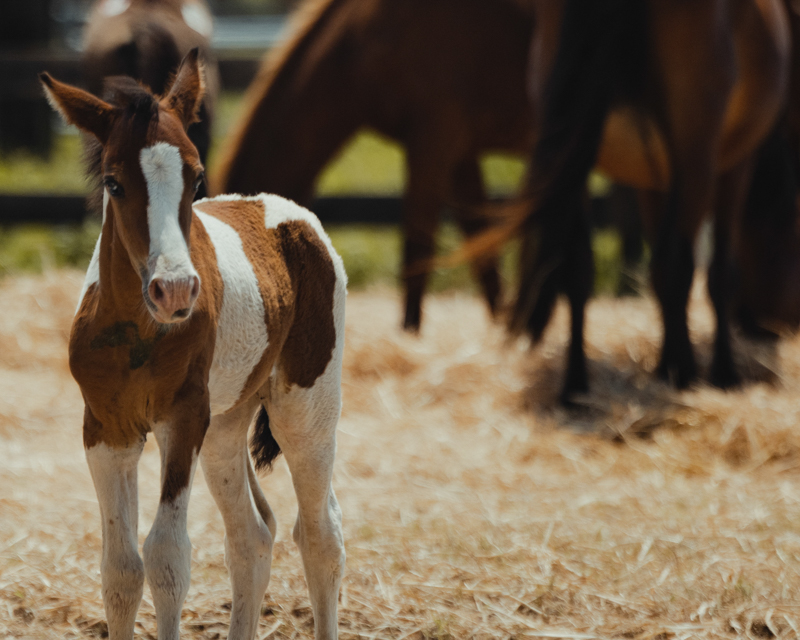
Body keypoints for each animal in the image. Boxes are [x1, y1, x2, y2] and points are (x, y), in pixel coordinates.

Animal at [41, 50, 346, 640]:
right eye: (113, 182)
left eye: (197, 174)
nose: (176, 290)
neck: (139, 330)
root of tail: (291, 215)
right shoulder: (106, 430)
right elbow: (121, 569)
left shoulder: (180, 419)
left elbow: (167, 557)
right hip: (226, 426)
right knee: (253, 535)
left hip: (306, 412)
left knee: (321, 535)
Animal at [211, 0, 536, 331]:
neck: (360, 40)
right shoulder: (461, 154)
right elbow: (481, 247)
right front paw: (498, 330)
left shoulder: (434, 139)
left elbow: (417, 248)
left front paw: (410, 333)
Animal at [509, 0, 791, 401]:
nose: (774, 326)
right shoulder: (735, 162)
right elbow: (719, 273)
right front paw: (719, 373)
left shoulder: (652, 178)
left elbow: (656, 271)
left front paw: (665, 364)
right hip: (696, 146)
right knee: (679, 263)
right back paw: (685, 376)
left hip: (572, 150)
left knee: (578, 269)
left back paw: (576, 389)